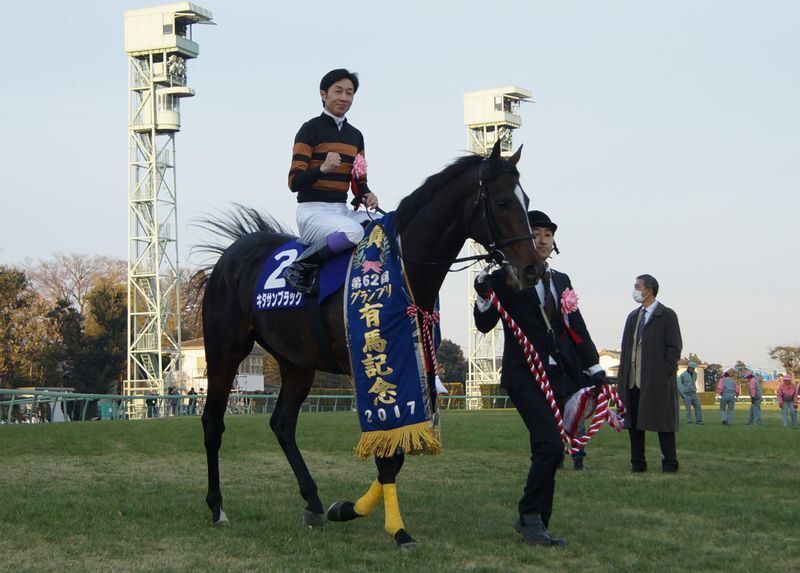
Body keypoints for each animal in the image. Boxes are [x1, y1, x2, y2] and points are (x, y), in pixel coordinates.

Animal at [200, 142, 544, 544]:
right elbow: (389, 454)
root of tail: (232, 253)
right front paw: (396, 528)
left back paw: (313, 502)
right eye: (503, 202)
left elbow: (396, 453)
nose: (533, 268)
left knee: (282, 424)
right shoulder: (377, 365)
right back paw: (217, 507)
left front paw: (349, 509)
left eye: (526, 200)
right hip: (225, 353)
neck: (402, 267)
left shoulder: (415, 366)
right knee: (212, 423)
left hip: (297, 362)